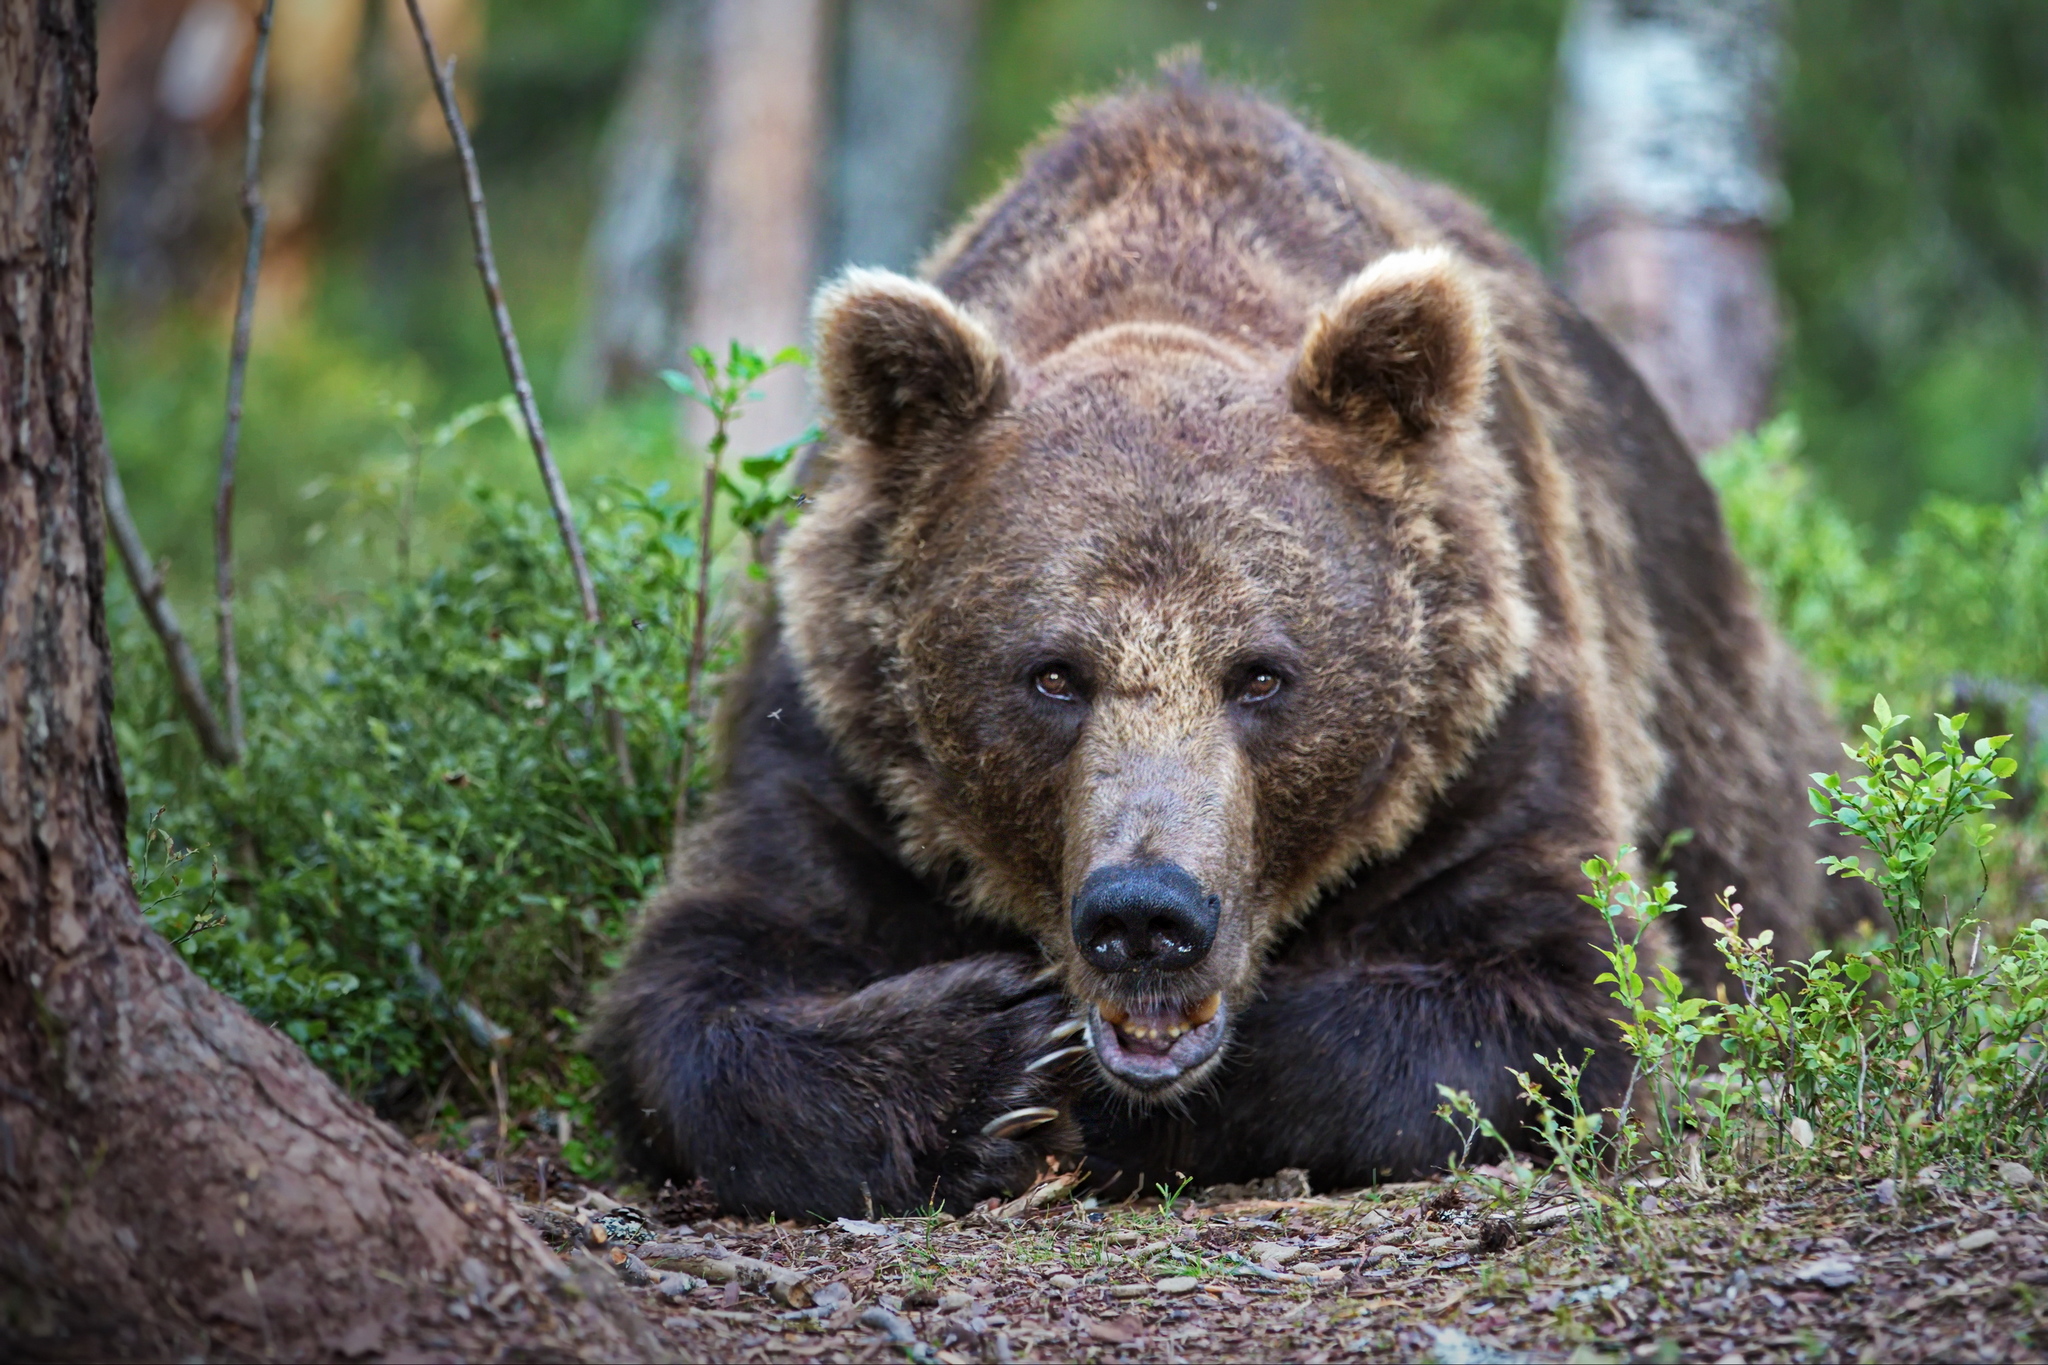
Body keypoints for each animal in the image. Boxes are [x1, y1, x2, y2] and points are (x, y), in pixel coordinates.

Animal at [593, 72, 1875, 1219]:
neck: (1163, 271)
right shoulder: (840, 744)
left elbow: (1556, 995)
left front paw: (1087, 1096)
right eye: (1052, 674)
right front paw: (993, 1059)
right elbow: (697, 981)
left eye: (1260, 675)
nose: (1144, 916)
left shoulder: (1488, 719)